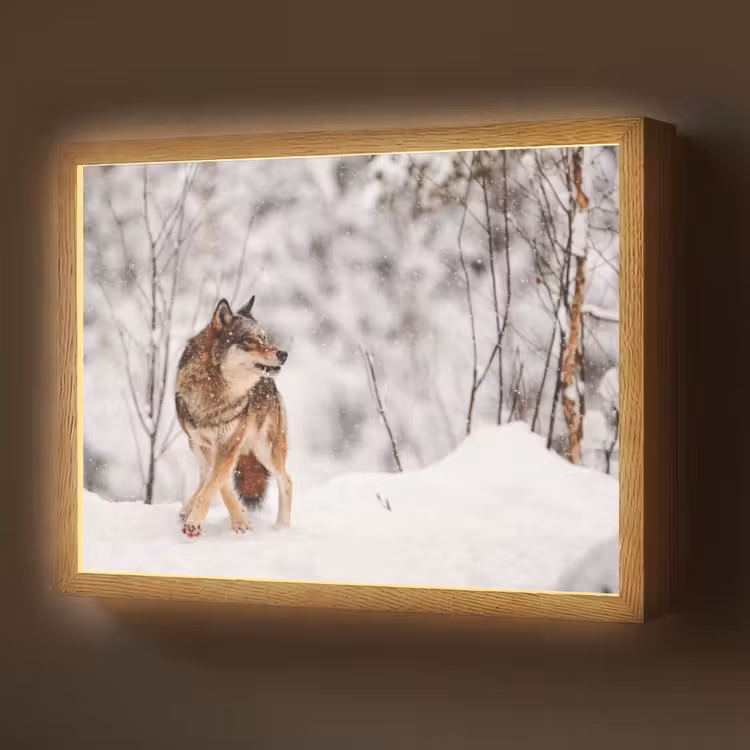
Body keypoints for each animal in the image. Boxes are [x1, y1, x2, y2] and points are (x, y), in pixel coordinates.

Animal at [174, 296, 292, 538]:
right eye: (249, 340)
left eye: (265, 338)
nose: (283, 354)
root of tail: (272, 385)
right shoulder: (208, 445)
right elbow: (219, 484)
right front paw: (239, 520)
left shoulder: (229, 444)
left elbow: (214, 485)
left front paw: (196, 523)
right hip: (196, 446)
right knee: (204, 476)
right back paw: (187, 508)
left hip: (267, 451)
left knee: (287, 481)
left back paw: (282, 527)